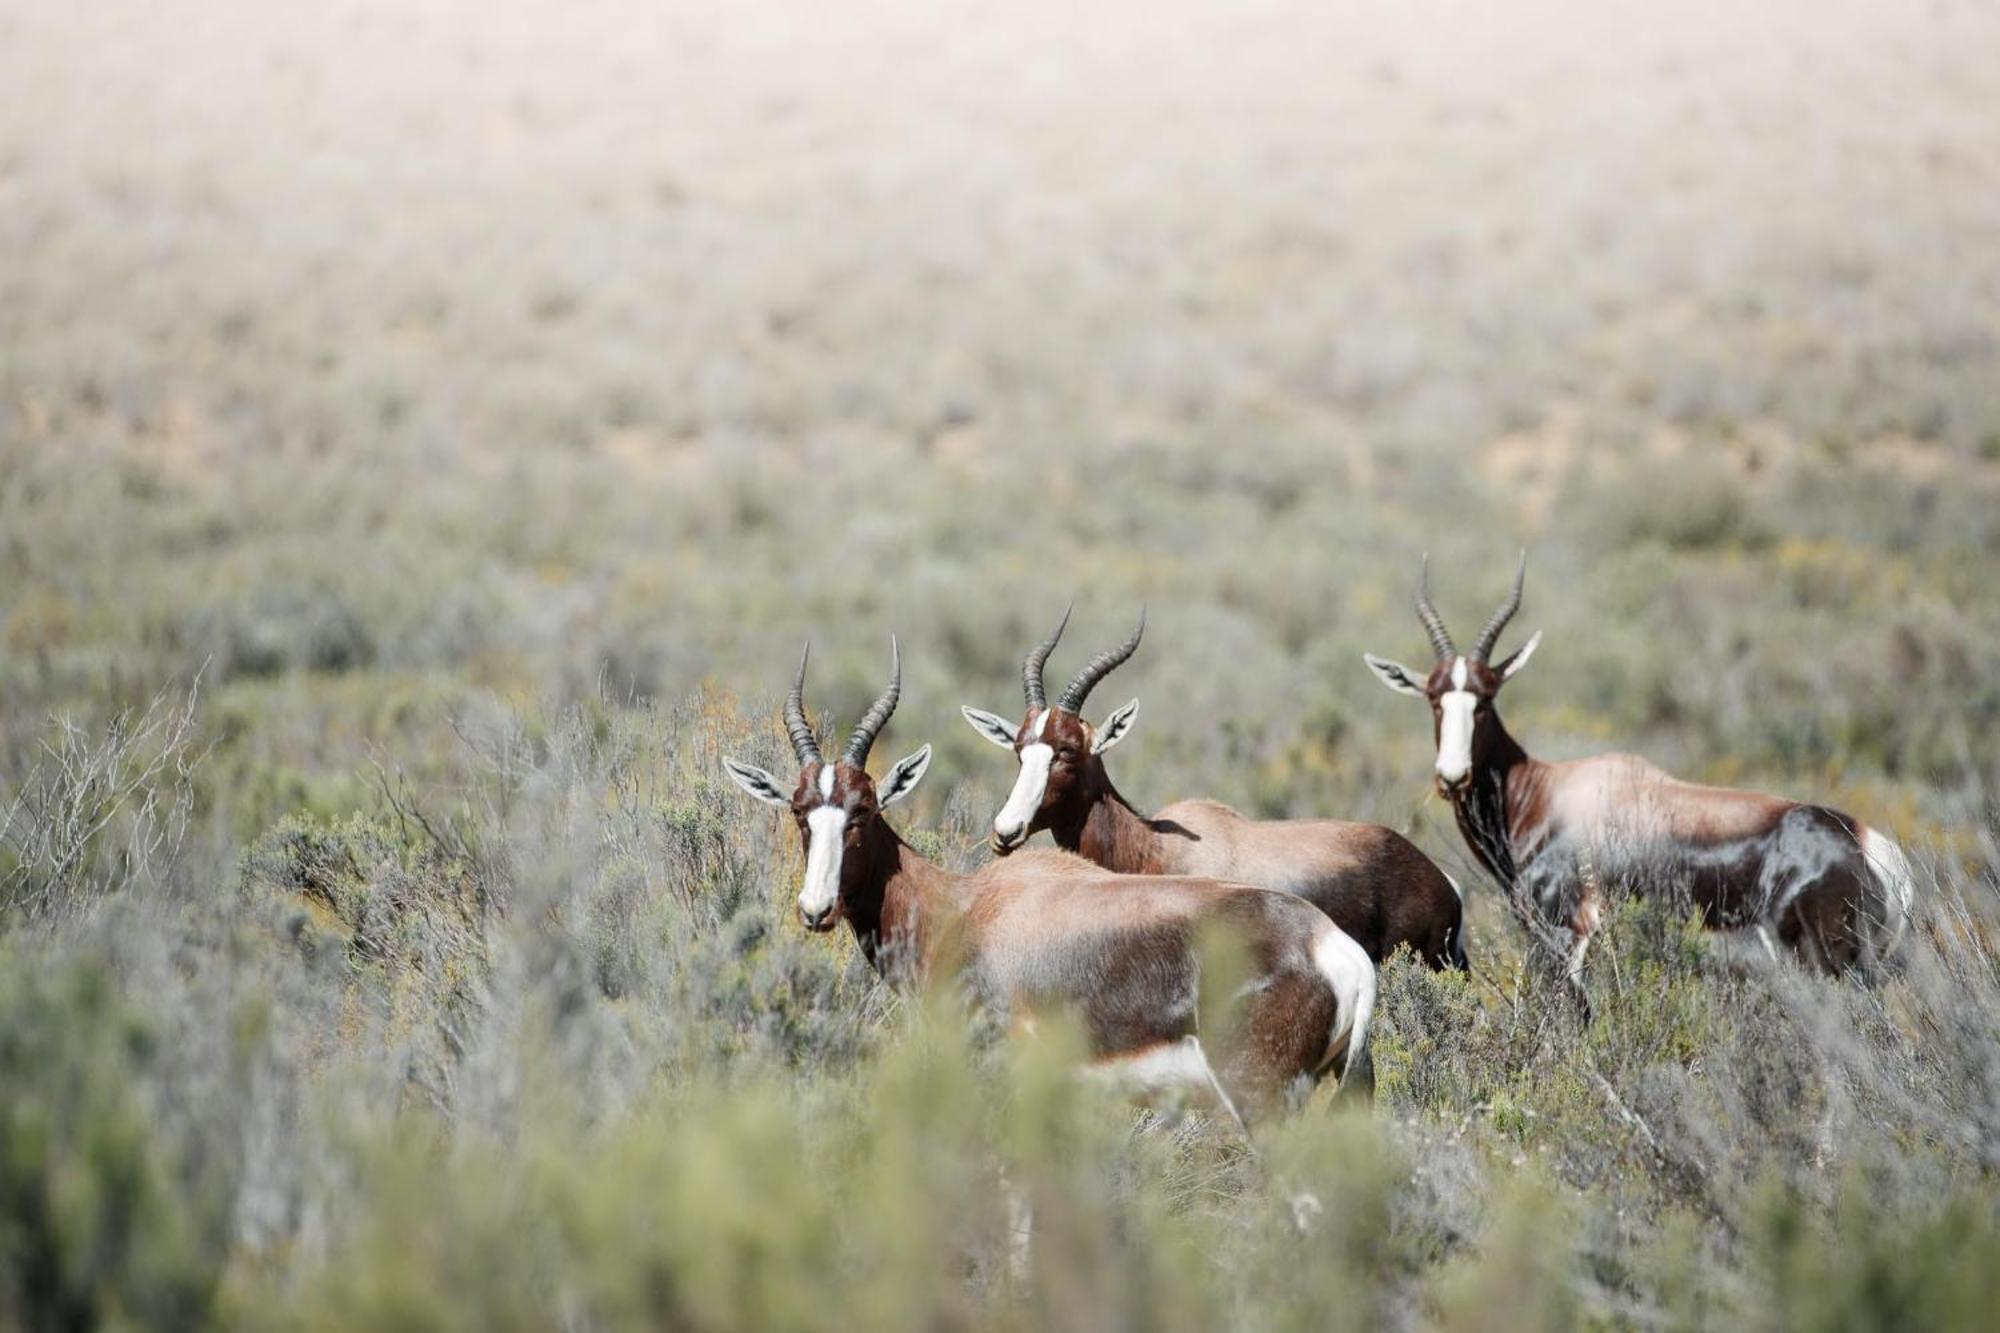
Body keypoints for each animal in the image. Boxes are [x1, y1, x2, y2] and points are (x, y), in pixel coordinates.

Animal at [1368, 548, 1912, 976]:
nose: (1453, 776)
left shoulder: (1567, 936)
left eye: (1485, 699)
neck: (1545, 794)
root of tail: (1873, 846)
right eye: (1434, 699)